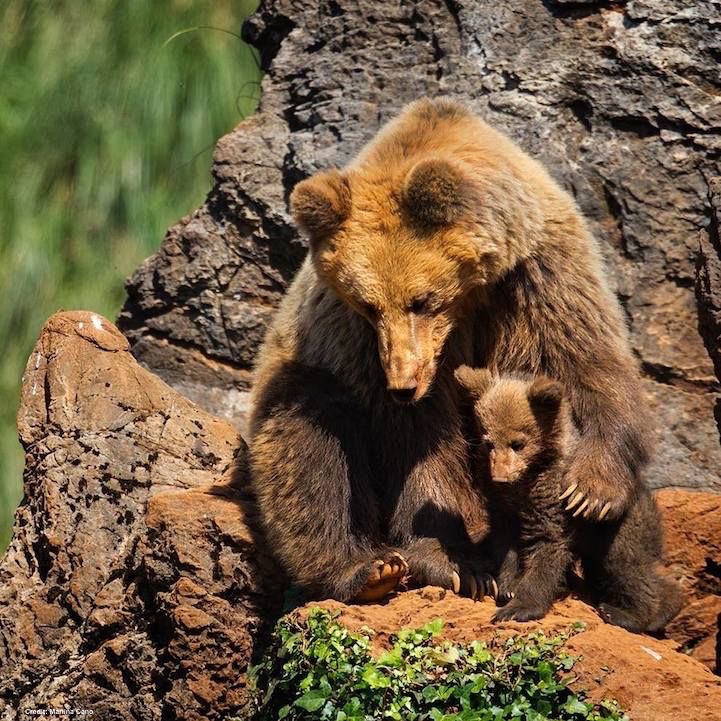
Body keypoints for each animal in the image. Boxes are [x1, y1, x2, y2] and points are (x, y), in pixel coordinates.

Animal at [246, 97, 652, 602]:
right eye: (367, 305)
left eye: (421, 300)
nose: (403, 383)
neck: (469, 299)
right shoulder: (363, 348)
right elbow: (421, 443)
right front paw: (458, 565)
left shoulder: (538, 275)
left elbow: (585, 358)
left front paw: (589, 491)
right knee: (306, 442)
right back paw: (366, 569)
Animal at [455, 365, 683, 632]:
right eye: (488, 441)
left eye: (518, 443)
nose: (500, 476)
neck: (530, 473)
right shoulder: (502, 506)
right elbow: (504, 543)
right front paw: (508, 587)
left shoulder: (555, 497)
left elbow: (549, 545)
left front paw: (517, 608)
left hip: (618, 527)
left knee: (626, 566)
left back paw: (627, 614)